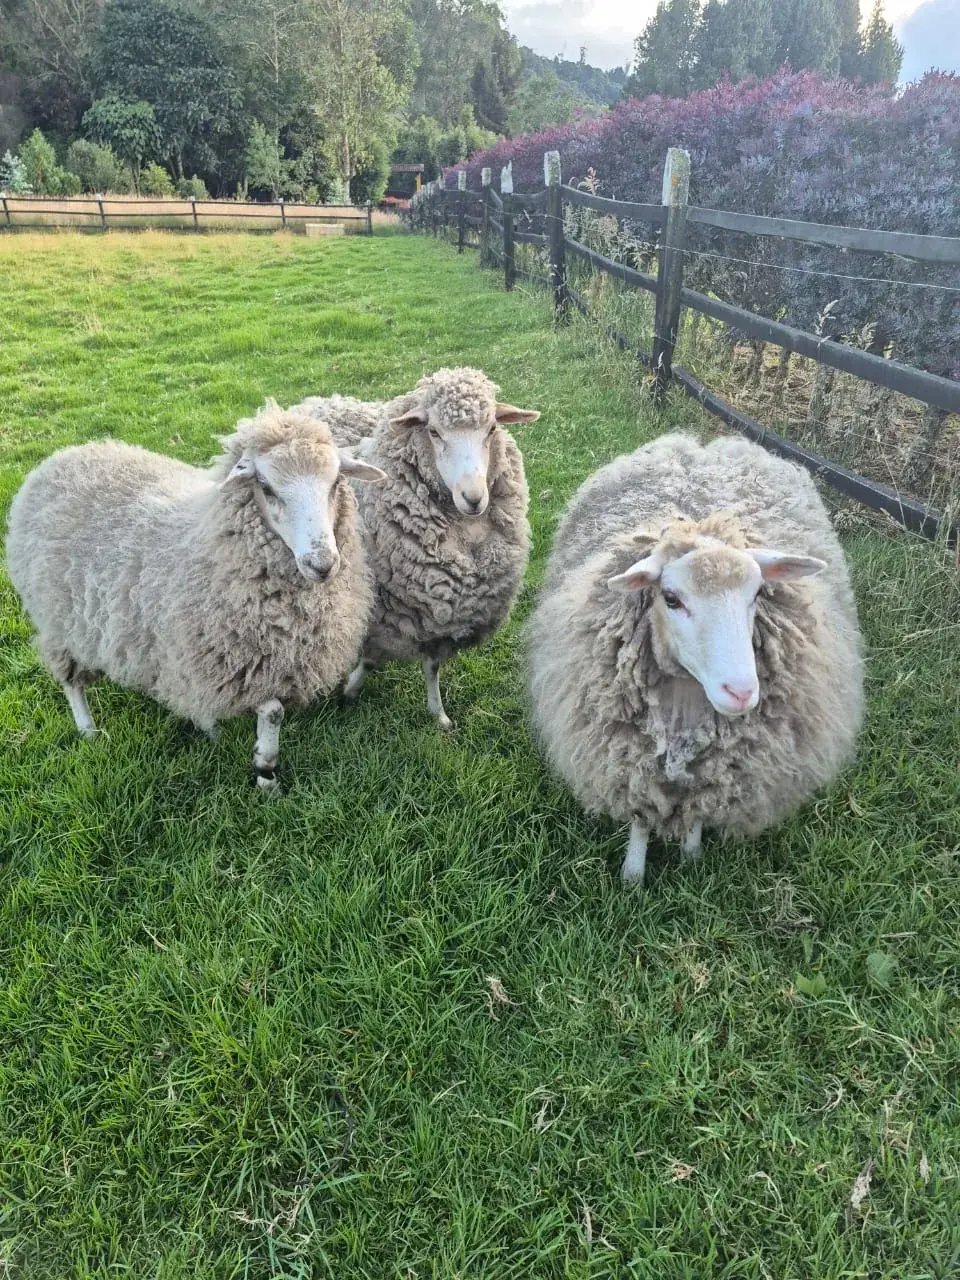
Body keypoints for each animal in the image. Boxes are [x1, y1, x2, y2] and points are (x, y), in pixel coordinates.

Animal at [5, 406, 385, 789]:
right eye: (265, 486)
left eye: (335, 483)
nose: (322, 564)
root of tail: (62, 456)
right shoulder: (232, 661)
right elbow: (272, 711)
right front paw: (264, 768)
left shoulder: (271, 662)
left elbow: (272, 713)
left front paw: (258, 765)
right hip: (56, 622)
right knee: (70, 682)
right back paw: (87, 729)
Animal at [293, 368, 540, 729]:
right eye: (434, 432)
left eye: (492, 429)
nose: (473, 497)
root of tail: (324, 401)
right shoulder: (384, 612)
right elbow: (370, 658)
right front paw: (350, 690)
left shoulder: (441, 620)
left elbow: (431, 668)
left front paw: (438, 715)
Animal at [527, 432, 864, 885]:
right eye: (671, 598)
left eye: (758, 593)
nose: (741, 692)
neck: (684, 703)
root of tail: (704, 446)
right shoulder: (632, 761)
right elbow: (640, 818)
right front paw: (632, 877)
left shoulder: (718, 770)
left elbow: (699, 813)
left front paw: (691, 859)